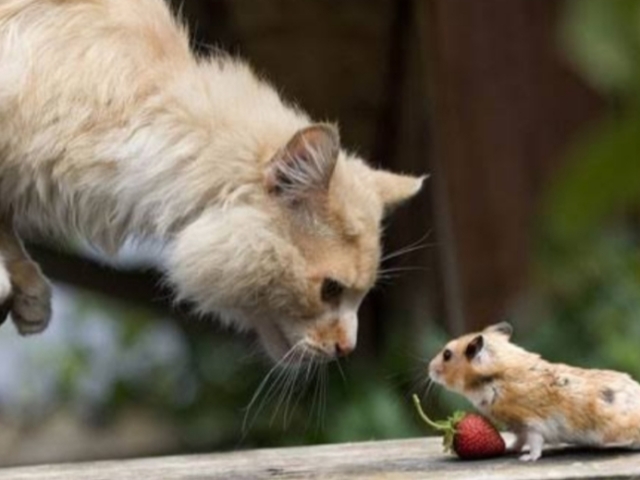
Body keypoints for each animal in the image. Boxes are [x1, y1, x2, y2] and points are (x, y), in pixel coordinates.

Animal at [428, 322, 640, 462]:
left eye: (447, 354)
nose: (429, 369)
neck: (494, 379)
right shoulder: (519, 427)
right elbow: (518, 441)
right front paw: (509, 450)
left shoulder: (532, 424)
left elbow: (535, 445)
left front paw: (526, 459)